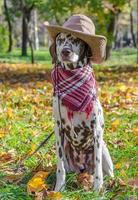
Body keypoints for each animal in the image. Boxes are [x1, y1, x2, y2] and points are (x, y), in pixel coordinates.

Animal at [51, 32, 113, 191]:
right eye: (60, 40)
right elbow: (60, 167)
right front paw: (59, 189)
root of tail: (83, 168)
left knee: (108, 173)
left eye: (76, 39)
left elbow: (98, 166)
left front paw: (98, 189)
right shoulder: (59, 128)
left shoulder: (97, 129)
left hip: (104, 151)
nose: (65, 52)